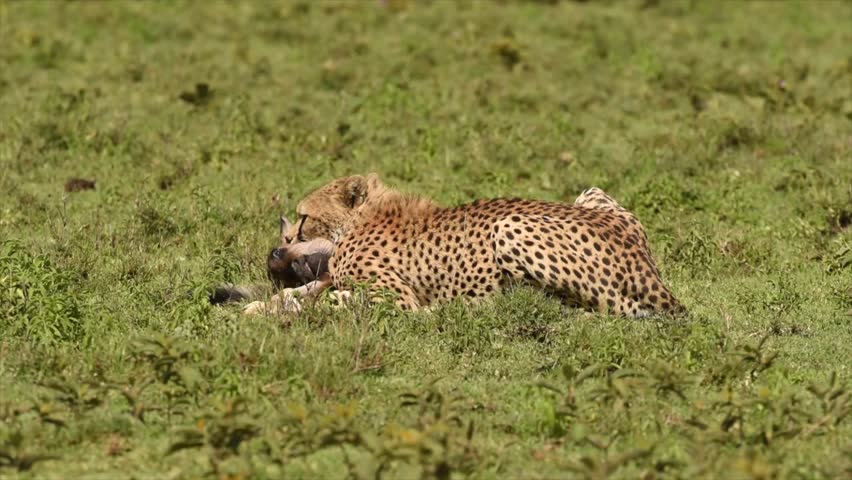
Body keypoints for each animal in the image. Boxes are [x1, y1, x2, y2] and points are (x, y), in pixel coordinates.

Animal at [251, 173, 685, 318]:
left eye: (302, 219)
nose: (276, 252)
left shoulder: (396, 298)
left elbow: (327, 300)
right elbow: (306, 291)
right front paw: (261, 305)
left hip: (511, 223)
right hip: (590, 191)